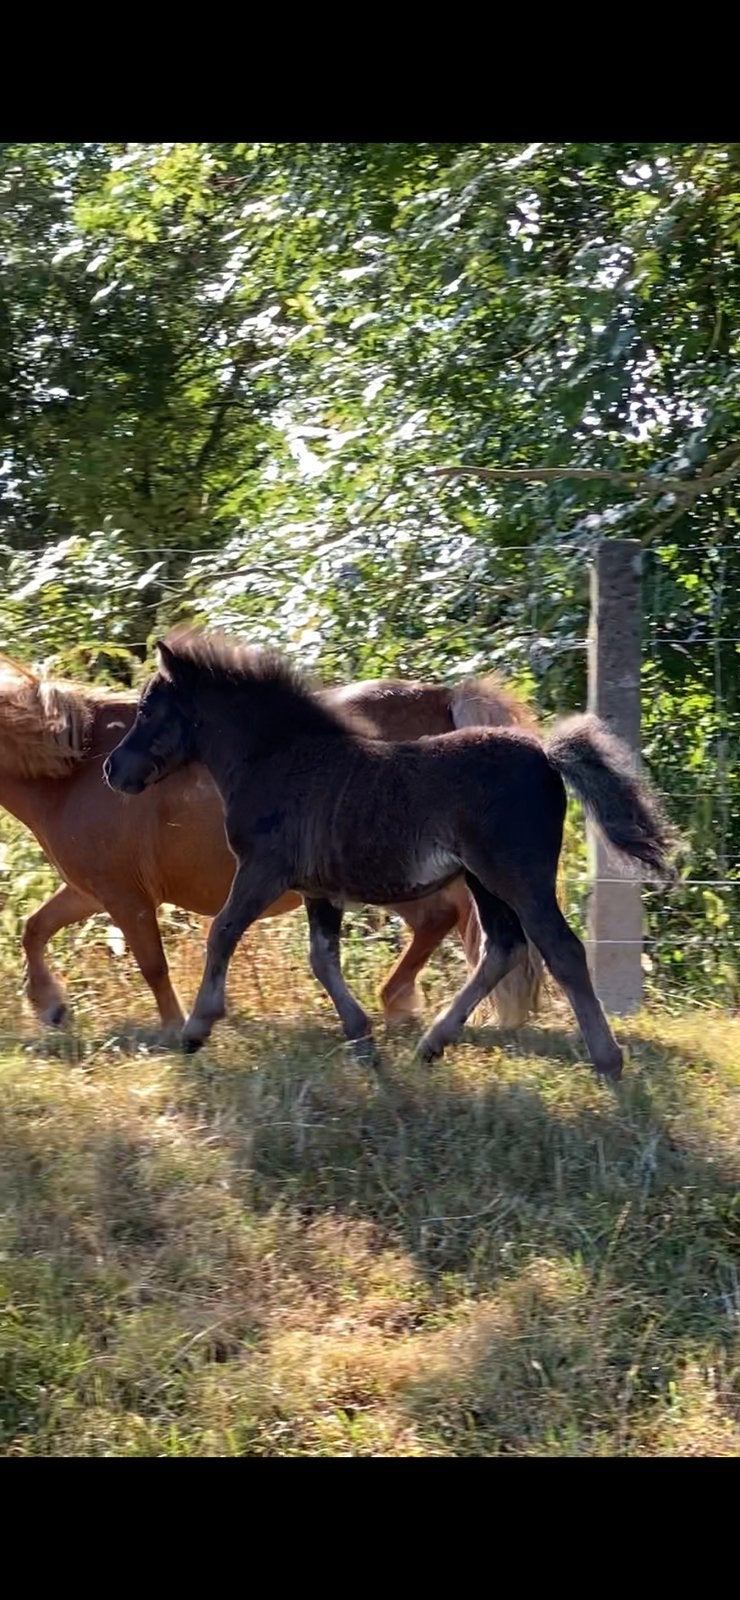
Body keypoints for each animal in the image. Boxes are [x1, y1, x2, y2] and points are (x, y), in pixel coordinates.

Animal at [0, 652, 541, 1035]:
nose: (115, 773)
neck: (75, 767)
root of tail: (446, 699)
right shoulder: (90, 891)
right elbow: (35, 928)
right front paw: (50, 1006)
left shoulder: (126, 897)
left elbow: (153, 964)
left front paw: (179, 1028)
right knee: (441, 922)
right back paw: (398, 1005)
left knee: (442, 919)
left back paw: (398, 1005)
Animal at [104, 631, 676, 1078]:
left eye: (146, 709)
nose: (113, 769)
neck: (277, 757)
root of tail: (545, 754)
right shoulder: (319, 889)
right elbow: (322, 958)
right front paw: (363, 1041)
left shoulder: (264, 869)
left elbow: (222, 931)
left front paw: (197, 1028)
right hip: (482, 880)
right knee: (503, 947)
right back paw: (431, 1045)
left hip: (516, 876)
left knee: (561, 949)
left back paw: (608, 1062)